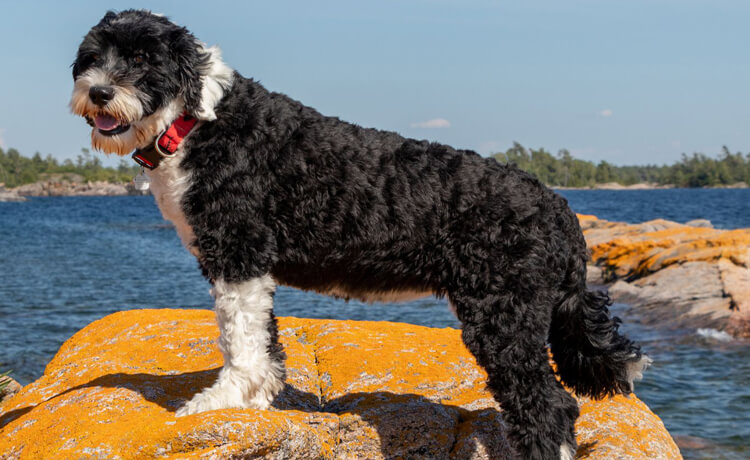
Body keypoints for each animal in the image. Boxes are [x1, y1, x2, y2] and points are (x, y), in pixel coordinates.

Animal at [69, 10, 652, 460]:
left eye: (142, 59)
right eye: (92, 56)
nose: (98, 91)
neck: (196, 121)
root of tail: (559, 207)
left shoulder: (237, 252)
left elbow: (240, 338)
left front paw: (222, 401)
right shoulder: (249, 266)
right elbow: (263, 339)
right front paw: (256, 402)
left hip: (503, 314)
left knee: (548, 407)